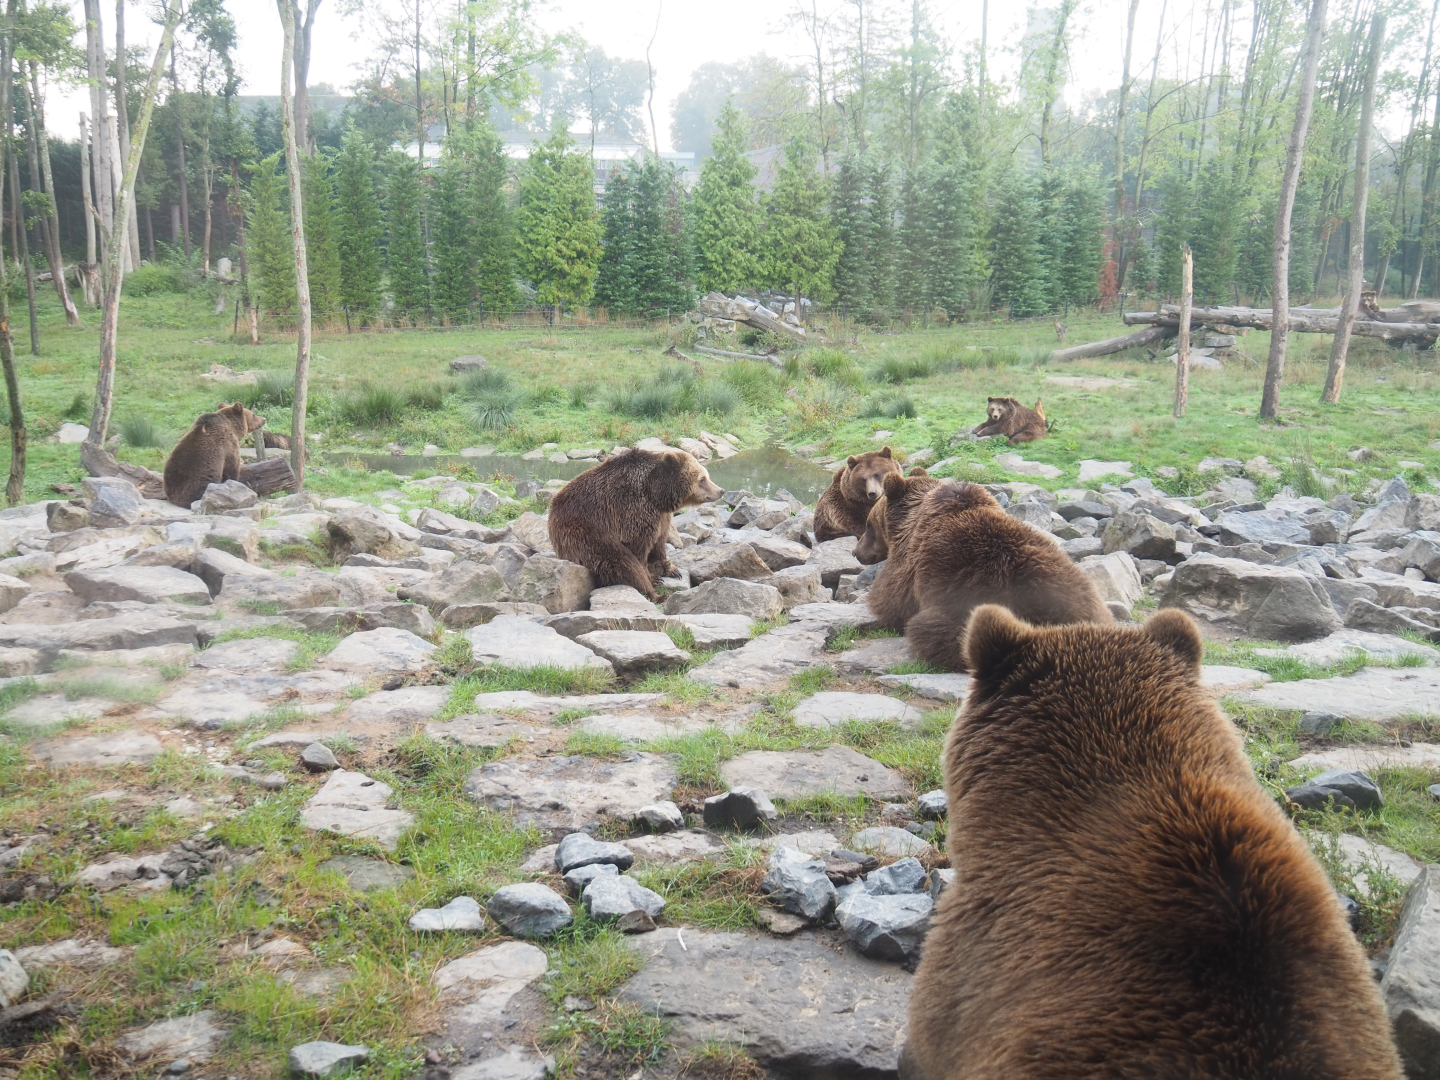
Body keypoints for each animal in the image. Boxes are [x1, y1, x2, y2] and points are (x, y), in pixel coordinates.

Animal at [548, 448, 723, 601]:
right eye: (702, 479)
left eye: (707, 476)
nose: (720, 490)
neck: (657, 495)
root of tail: (552, 511)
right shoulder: (633, 511)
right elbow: (639, 551)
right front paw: (653, 577)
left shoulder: (661, 517)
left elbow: (659, 542)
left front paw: (671, 569)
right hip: (584, 534)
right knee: (621, 562)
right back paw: (658, 595)